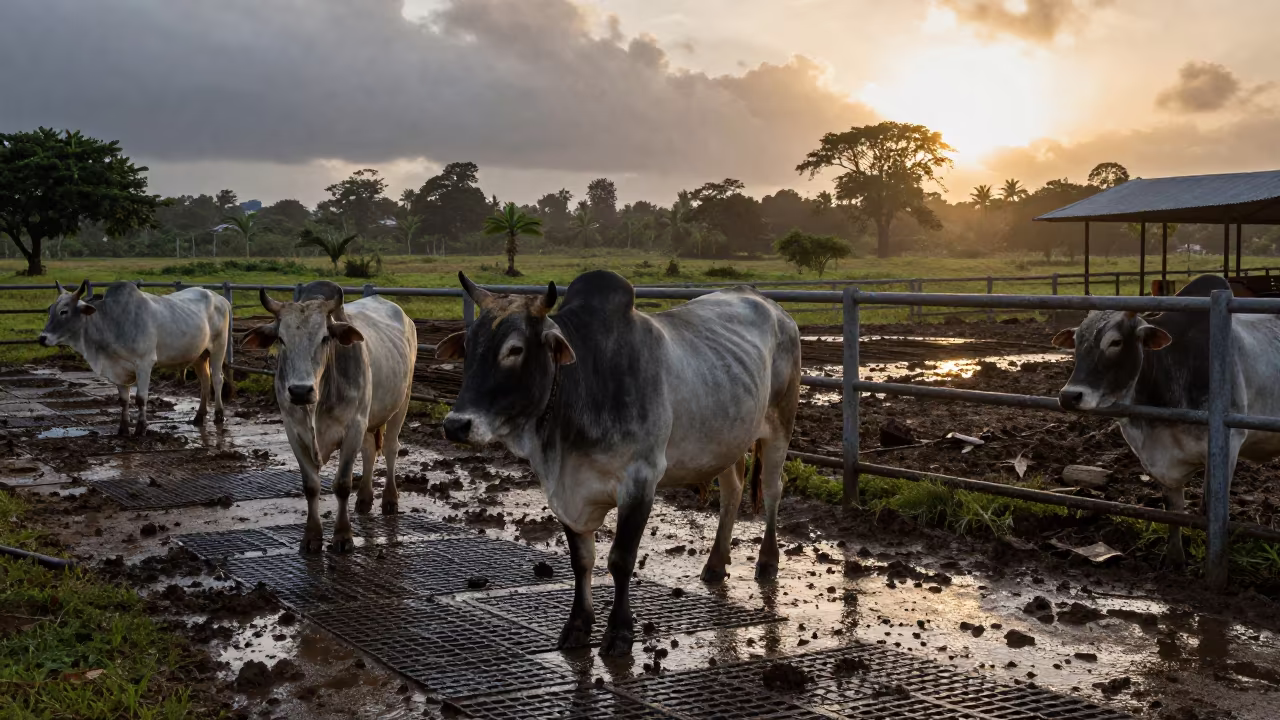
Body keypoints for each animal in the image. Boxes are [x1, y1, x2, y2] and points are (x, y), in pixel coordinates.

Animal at [38, 280, 231, 435]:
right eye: (50, 310)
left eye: (64, 311)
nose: (42, 338)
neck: (112, 321)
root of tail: (220, 298)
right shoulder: (118, 370)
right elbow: (124, 400)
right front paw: (123, 429)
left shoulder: (144, 364)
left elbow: (140, 398)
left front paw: (140, 428)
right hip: (200, 355)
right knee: (205, 380)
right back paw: (199, 416)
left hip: (218, 348)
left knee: (217, 379)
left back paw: (219, 415)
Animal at [242, 281, 417, 553]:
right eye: (281, 339)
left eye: (325, 338)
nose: (300, 390)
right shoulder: (294, 431)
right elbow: (311, 486)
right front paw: (312, 536)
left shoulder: (353, 427)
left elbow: (342, 485)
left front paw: (343, 536)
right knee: (369, 451)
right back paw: (364, 499)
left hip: (401, 402)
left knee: (390, 448)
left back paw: (390, 499)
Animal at [436, 270, 801, 656]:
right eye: (468, 346)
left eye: (515, 349)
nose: (456, 425)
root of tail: (769, 304)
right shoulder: (566, 493)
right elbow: (582, 560)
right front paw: (577, 626)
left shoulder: (639, 482)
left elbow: (620, 559)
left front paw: (619, 632)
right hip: (727, 438)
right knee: (732, 491)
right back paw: (715, 564)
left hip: (780, 426)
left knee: (773, 490)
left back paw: (767, 560)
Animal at [1052, 274, 1280, 566]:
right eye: (1078, 341)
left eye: (1115, 342)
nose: (1070, 396)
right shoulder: (1158, 459)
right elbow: (1172, 509)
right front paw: (1174, 559)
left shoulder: (1227, 445)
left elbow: (1209, 509)